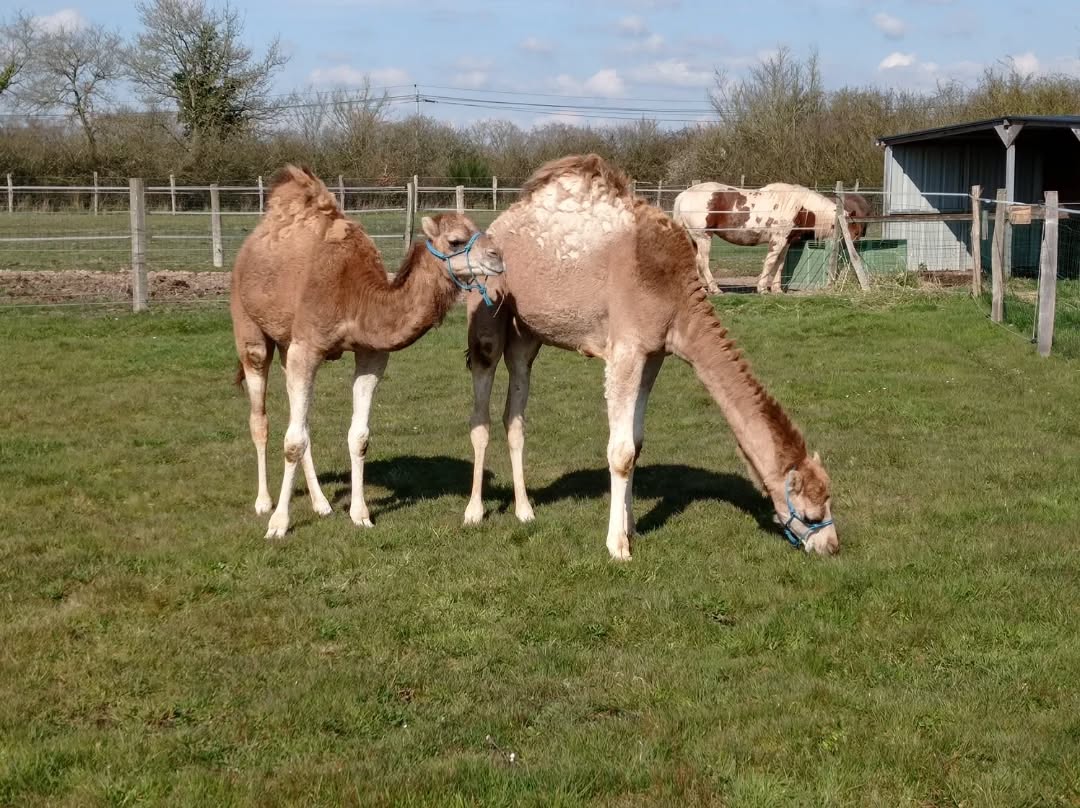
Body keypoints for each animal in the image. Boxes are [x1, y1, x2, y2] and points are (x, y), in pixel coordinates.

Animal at [231, 165, 503, 540]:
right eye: (456, 241)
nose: (498, 256)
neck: (356, 295)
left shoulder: (369, 353)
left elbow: (357, 436)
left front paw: (360, 514)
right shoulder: (308, 346)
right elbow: (292, 442)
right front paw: (279, 525)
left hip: (286, 343)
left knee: (300, 422)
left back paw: (321, 504)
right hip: (249, 327)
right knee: (261, 417)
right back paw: (264, 503)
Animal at [463, 155, 838, 560]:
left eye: (829, 501)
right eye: (811, 514)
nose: (832, 545)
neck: (674, 293)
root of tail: (495, 228)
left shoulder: (654, 353)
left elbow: (637, 442)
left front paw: (631, 528)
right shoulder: (625, 350)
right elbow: (621, 451)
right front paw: (617, 546)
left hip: (527, 334)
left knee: (515, 411)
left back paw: (525, 511)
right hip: (486, 310)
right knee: (481, 408)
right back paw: (474, 512)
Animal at [672, 182, 871, 293]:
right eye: (854, 230)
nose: (855, 247)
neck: (800, 207)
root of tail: (683, 195)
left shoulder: (786, 242)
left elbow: (780, 264)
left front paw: (776, 289)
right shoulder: (778, 240)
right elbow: (770, 262)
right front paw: (762, 288)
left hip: (693, 238)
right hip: (703, 237)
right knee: (703, 261)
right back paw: (714, 289)